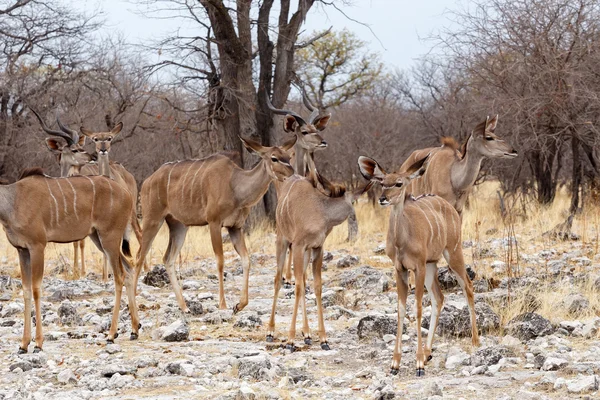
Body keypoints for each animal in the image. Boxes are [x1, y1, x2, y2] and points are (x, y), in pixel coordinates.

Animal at [0, 169, 138, 354]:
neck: (13, 202)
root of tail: (127, 195)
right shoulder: (22, 250)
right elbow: (26, 290)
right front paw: (23, 344)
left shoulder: (37, 246)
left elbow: (36, 290)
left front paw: (38, 343)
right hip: (99, 238)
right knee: (129, 269)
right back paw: (134, 330)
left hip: (110, 237)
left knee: (119, 276)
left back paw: (111, 334)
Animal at [135, 136, 296, 314]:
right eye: (274, 158)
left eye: (288, 157)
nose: (292, 174)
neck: (235, 187)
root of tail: (146, 182)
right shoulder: (214, 222)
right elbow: (220, 261)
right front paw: (223, 304)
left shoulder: (235, 227)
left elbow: (246, 260)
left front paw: (239, 305)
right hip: (152, 219)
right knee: (139, 257)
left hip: (179, 225)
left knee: (168, 258)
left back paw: (185, 307)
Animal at [358, 157, 480, 378]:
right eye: (382, 182)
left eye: (399, 183)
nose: (382, 199)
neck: (402, 240)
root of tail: (449, 207)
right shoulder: (400, 269)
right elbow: (400, 309)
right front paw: (395, 364)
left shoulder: (418, 266)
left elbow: (417, 308)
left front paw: (418, 364)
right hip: (432, 264)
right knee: (439, 298)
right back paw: (428, 352)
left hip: (452, 253)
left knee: (467, 286)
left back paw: (475, 341)